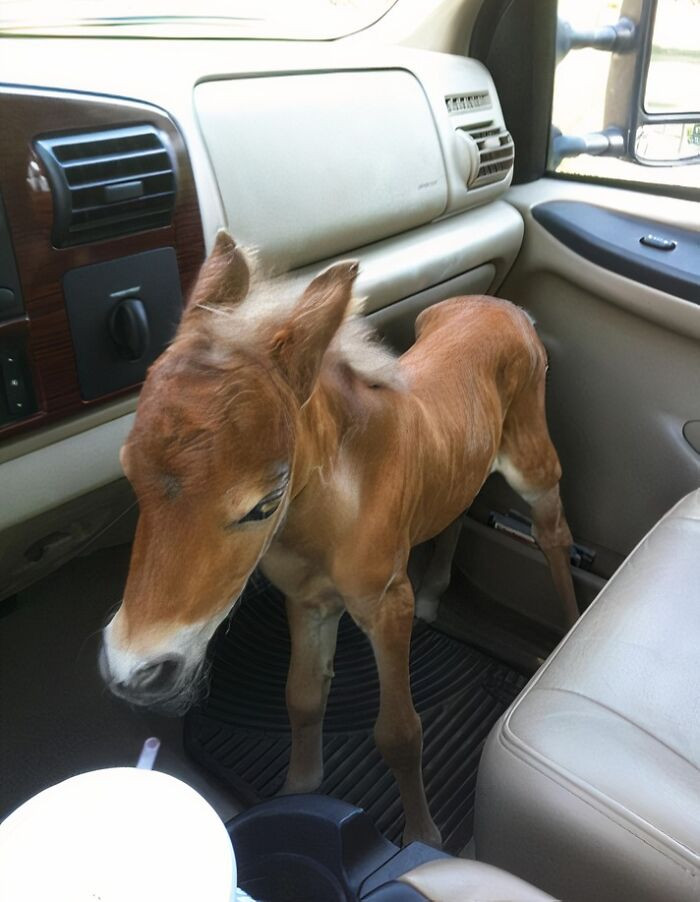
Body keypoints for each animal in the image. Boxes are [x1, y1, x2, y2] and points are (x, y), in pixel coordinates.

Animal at [99, 231, 578, 846]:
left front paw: (423, 836)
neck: (326, 516)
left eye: (264, 502)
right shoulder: (307, 602)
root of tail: (506, 307)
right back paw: (436, 594)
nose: (135, 670)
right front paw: (296, 792)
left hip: (532, 457)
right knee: (458, 508)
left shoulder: (384, 603)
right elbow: (302, 701)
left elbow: (400, 732)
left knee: (553, 533)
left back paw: (569, 631)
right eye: (129, 472)